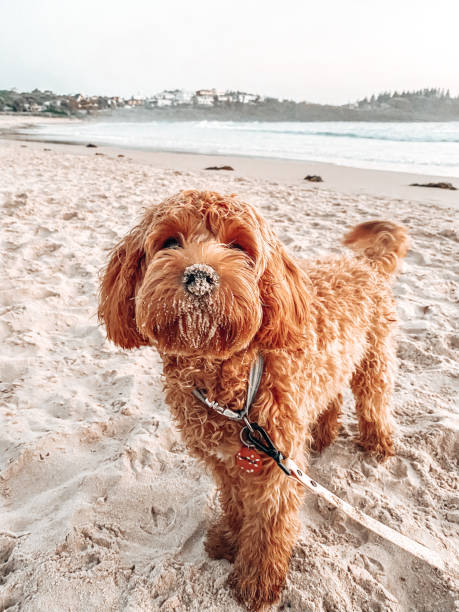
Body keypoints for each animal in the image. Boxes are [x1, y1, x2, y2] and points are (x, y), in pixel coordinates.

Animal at [98, 189, 410, 608]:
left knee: (373, 400)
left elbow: (267, 525)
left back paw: (377, 443)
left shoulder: (275, 465)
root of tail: (361, 263)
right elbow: (235, 504)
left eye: (238, 246)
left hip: (373, 358)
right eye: (169, 241)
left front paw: (256, 582)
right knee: (330, 397)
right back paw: (323, 434)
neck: (234, 382)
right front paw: (230, 540)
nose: (200, 277)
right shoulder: (226, 463)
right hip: (333, 364)